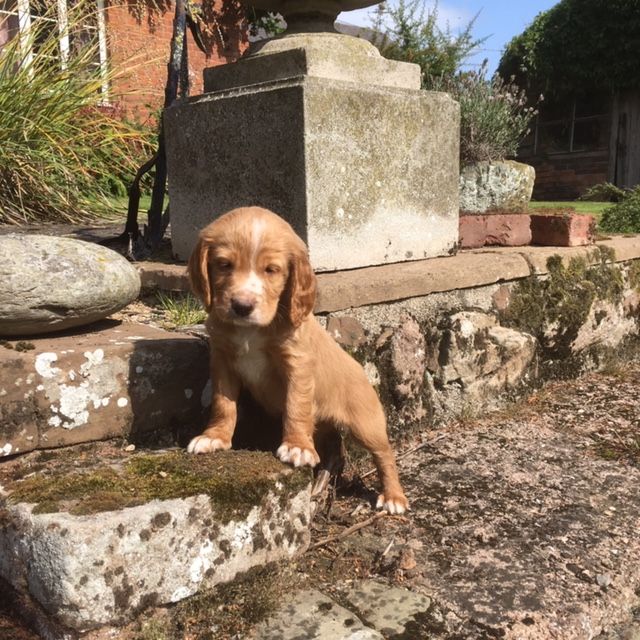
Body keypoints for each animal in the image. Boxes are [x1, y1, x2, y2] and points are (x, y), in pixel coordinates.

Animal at [185, 206, 408, 516]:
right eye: (224, 264)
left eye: (271, 270)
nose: (241, 306)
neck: (251, 331)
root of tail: (362, 369)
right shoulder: (222, 361)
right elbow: (222, 403)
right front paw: (215, 437)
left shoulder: (297, 364)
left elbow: (296, 405)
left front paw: (297, 447)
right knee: (334, 445)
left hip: (367, 423)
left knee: (384, 454)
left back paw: (393, 496)